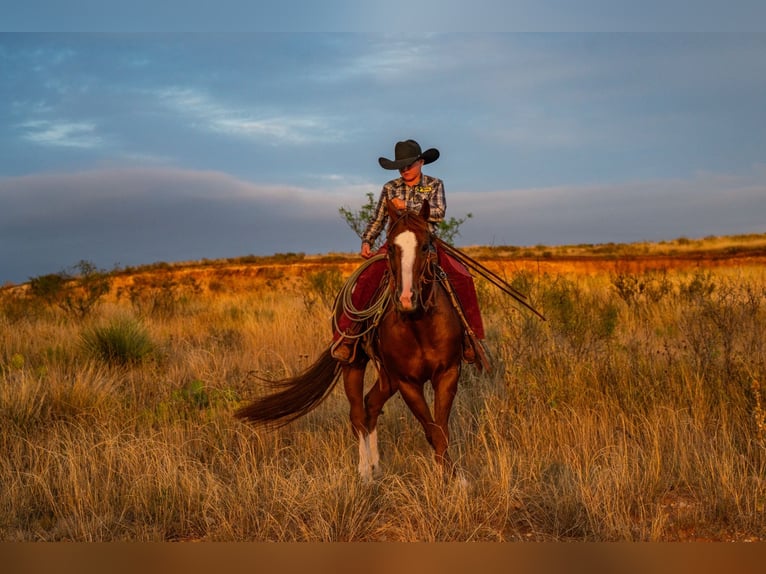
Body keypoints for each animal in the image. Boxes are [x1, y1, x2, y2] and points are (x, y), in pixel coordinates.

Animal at [235, 200, 465, 480]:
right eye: (391, 247)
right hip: (354, 365)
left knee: (371, 405)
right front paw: (449, 477)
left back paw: (376, 465)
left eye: (425, 245)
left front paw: (456, 479)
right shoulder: (408, 382)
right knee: (357, 413)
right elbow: (432, 429)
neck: (419, 323)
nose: (406, 299)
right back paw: (365, 472)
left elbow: (440, 429)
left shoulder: (448, 373)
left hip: (387, 376)